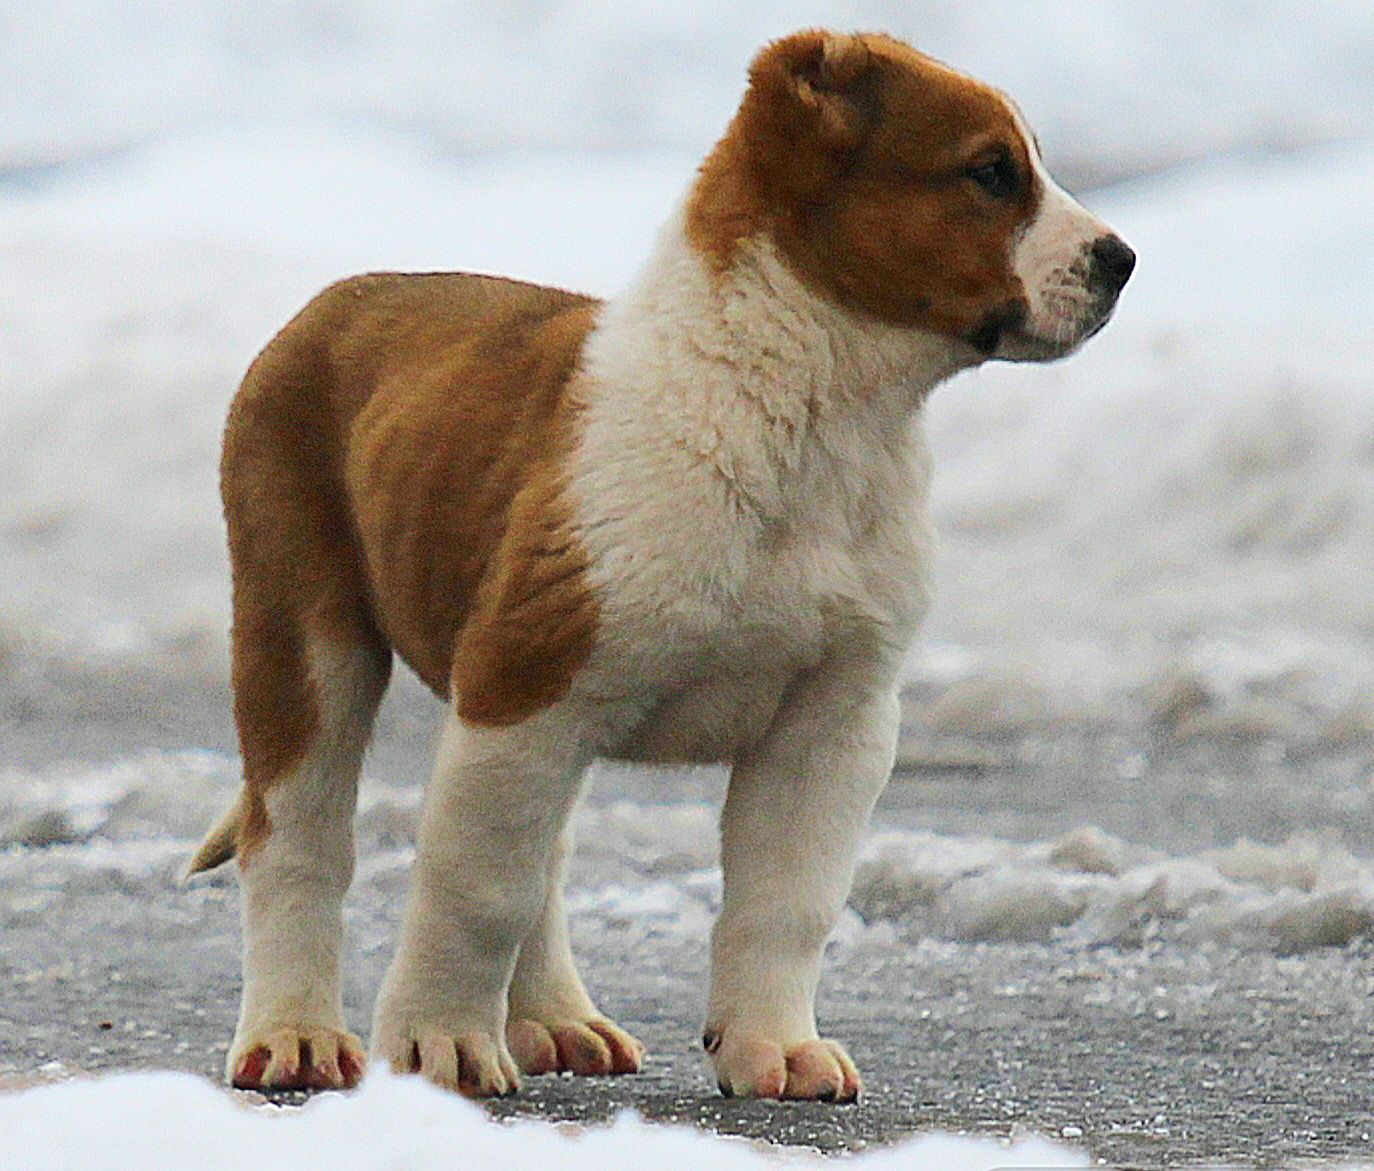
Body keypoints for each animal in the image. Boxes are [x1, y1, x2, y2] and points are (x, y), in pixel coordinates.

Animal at [193, 29, 1137, 1105]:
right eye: (988, 172)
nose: (1123, 260)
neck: (814, 413)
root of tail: (338, 297)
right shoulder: (524, 688)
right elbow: (479, 890)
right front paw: (441, 1044)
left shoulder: (833, 723)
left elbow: (786, 901)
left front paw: (774, 1045)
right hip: (302, 637)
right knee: (299, 838)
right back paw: (296, 1036)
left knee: (546, 854)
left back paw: (556, 1018)